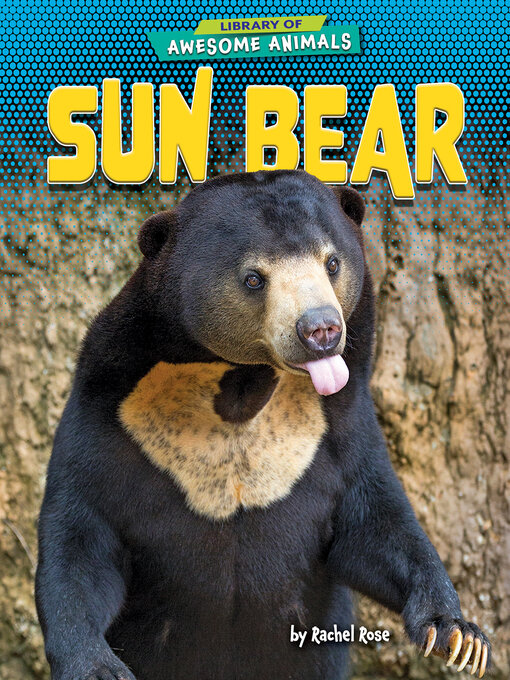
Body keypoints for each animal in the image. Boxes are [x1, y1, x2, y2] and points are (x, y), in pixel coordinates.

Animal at [35, 170, 491, 680]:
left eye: (332, 262)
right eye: (254, 278)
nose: (321, 330)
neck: (240, 384)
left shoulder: (340, 420)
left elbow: (376, 522)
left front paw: (459, 636)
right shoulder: (111, 411)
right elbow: (84, 536)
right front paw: (96, 666)